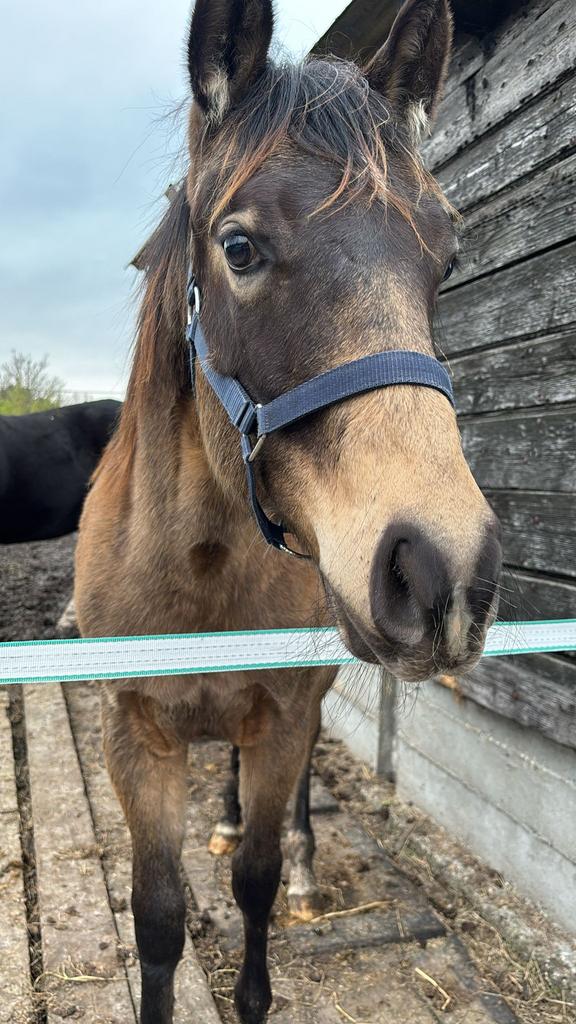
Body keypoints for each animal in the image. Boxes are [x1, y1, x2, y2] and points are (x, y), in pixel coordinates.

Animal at [74, 1, 502, 1021]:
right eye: (239, 247)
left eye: (447, 255)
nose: (443, 571)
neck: (194, 569)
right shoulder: (134, 734)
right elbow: (158, 916)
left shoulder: (281, 715)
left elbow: (258, 883)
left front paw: (280, 888)